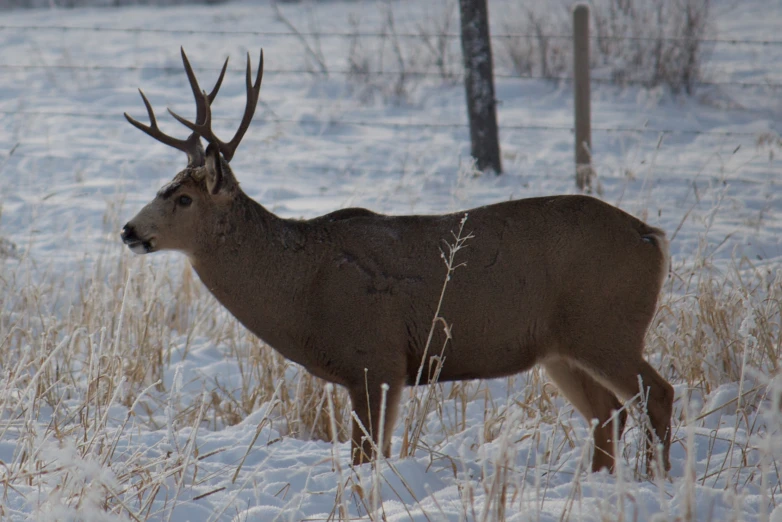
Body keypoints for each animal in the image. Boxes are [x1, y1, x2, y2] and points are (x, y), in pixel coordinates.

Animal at [121, 46, 672, 474]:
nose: (129, 230)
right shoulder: (387, 370)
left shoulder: (375, 357)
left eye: (183, 198)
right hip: (561, 347)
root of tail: (652, 236)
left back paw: (655, 479)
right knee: (608, 413)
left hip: (606, 325)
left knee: (656, 396)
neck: (301, 286)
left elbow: (364, 458)